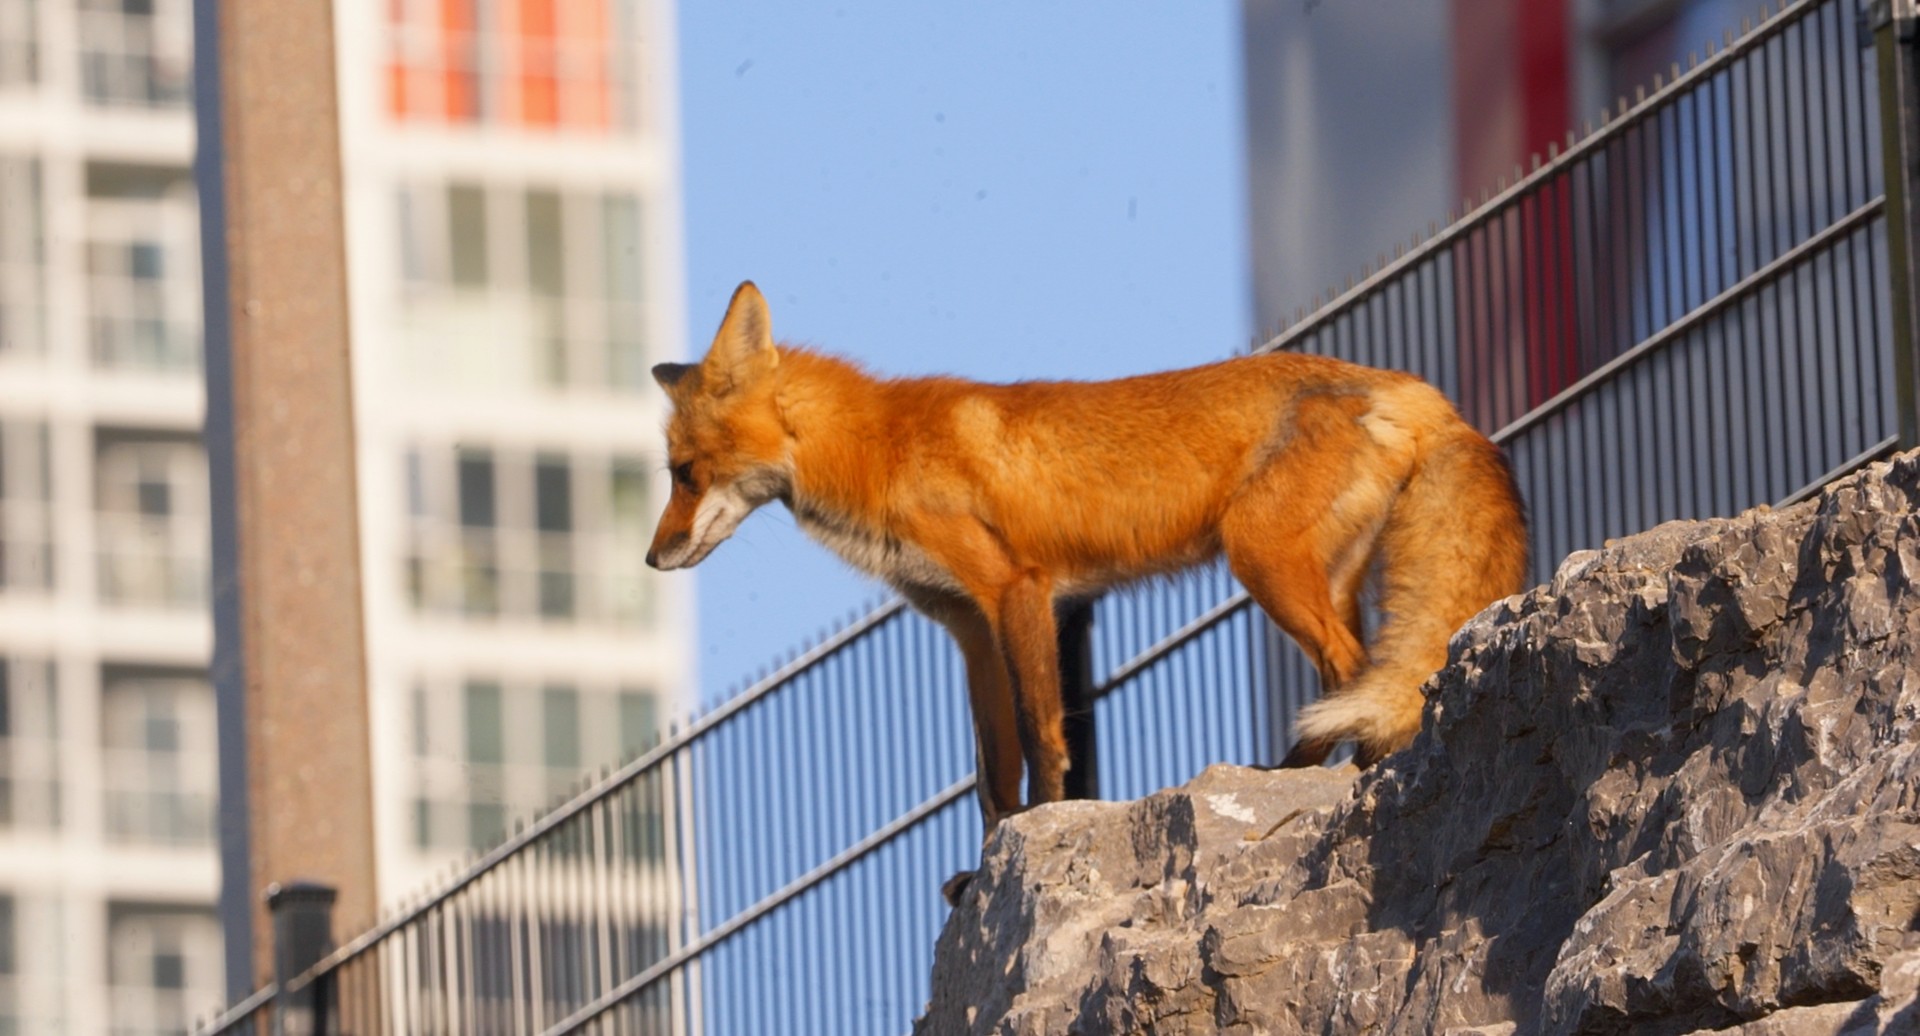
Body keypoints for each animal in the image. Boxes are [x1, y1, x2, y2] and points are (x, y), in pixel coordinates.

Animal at [652, 285, 1520, 832]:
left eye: (683, 472)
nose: (654, 557)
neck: (882, 451)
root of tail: (1413, 388)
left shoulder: (1018, 589)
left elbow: (1041, 735)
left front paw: (1042, 822)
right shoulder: (966, 627)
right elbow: (991, 768)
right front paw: (984, 865)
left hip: (1261, 559)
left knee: (1349, 672)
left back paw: (1315, 778)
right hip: (1322, 578)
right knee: (1357, 674)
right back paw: (1297, 774)